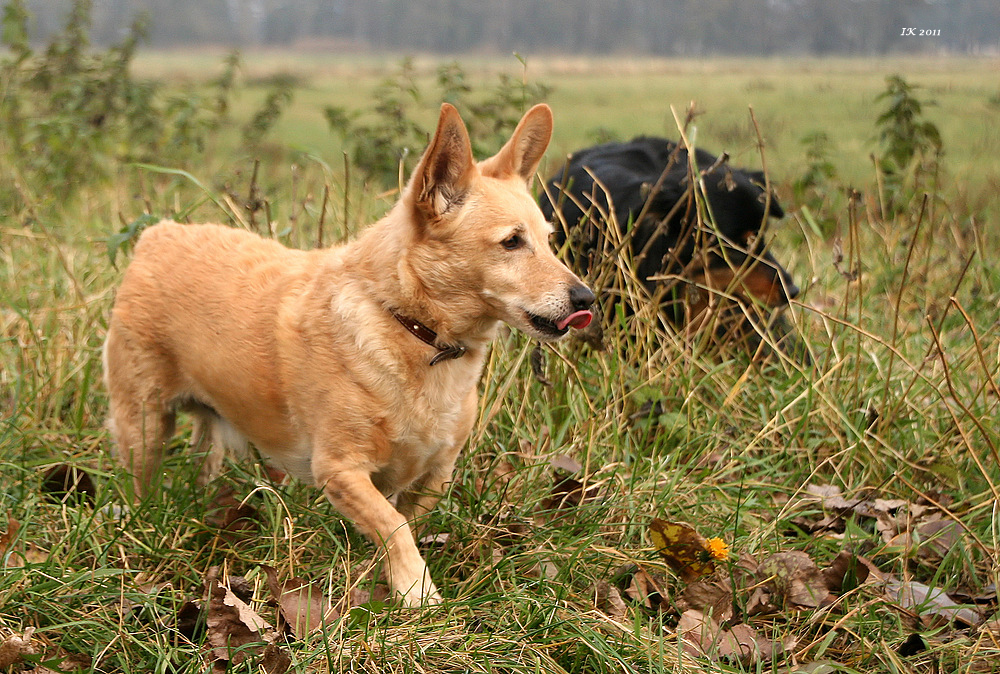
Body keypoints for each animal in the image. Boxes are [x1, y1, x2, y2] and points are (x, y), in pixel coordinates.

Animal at [103, 103, 592, 604]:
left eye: (549, 239)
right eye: (512, 241)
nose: (585, 298)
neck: (417, 333)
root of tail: (158, 233)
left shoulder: (435, 473)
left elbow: (406, 523)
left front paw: (385, 580)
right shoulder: (340, 469)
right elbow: (394, 526)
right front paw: (418, 594)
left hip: (213, 425)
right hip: (143, 423)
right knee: (139, 479)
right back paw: (142, 525)